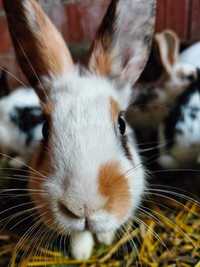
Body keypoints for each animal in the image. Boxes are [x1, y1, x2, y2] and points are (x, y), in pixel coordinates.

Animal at [3, 0, 156, 262]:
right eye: (45, 128)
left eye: (121, 124)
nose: (83, 207)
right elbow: (79, 235)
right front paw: (82, 254)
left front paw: (105, 239)